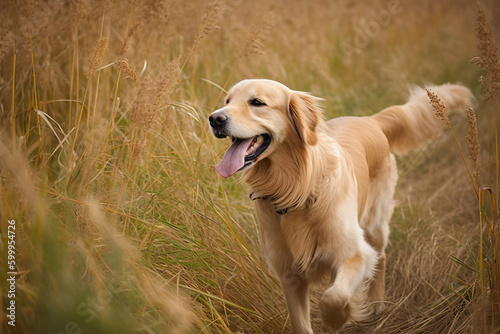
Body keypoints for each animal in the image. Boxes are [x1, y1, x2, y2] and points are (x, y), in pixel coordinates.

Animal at [208, 79, 472, 332]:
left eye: (256, 102)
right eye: (227, 100)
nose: (215, 118)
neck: (296, 188)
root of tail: (371, 120)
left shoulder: (354, 254)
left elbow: (333, 295)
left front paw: (337, 319)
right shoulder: (289, 275)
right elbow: (301, 323)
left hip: (375, 222)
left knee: (381, 256)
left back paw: (376, 303)